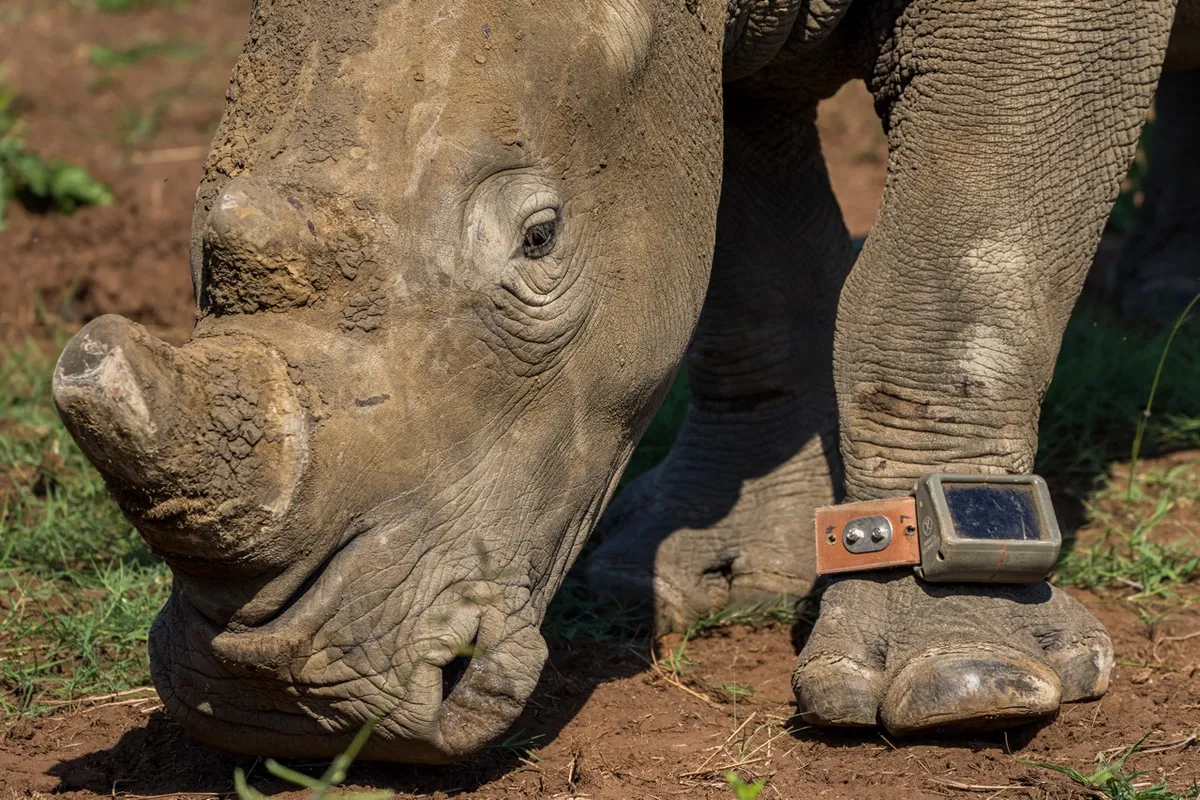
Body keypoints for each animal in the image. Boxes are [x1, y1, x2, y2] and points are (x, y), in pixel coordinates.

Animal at [52, 0, 1197, 763]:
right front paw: (719, 568)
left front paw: (966, 680)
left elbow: (952, 268)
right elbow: (745, 261)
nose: (275, 702)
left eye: (540, 239)